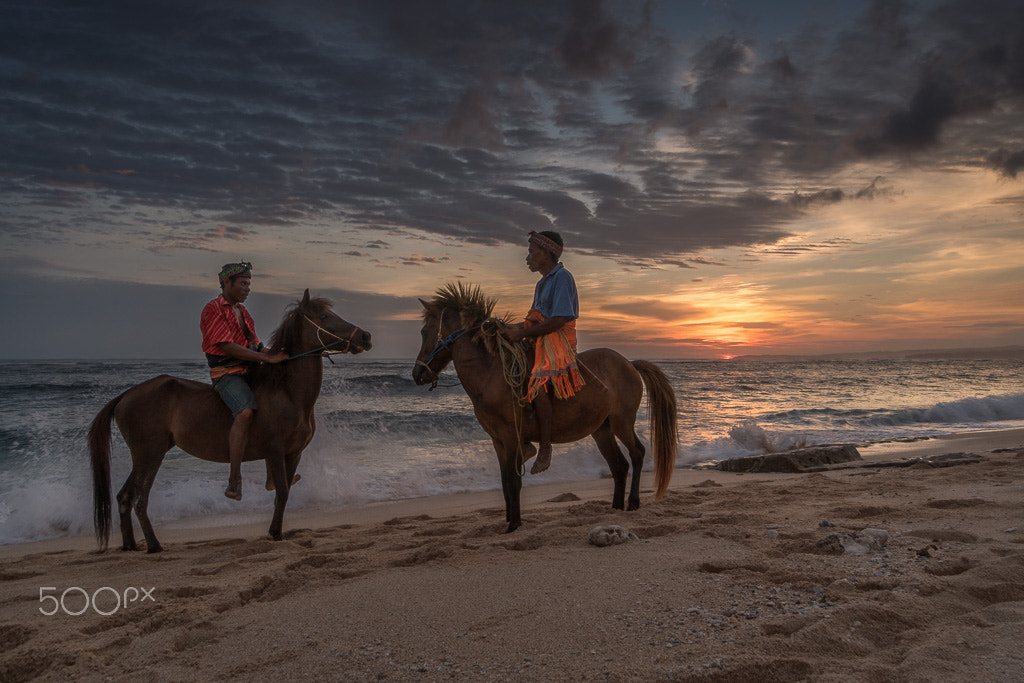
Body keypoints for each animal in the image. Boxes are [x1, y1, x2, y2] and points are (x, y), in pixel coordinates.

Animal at [90, 290, 372, 552]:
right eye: (323, 317)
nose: (365, 337)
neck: (287, 392)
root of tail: (125, 396)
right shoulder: (275, 450)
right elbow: (281, 491)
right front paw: (275, 533)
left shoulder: (294, 453)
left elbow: (284, 492)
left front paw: (276, 531)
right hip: (150, 454)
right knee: (139, 500)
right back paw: (154, 545)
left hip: (145, 455)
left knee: (124, 497)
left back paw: (130, 545)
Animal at [411, 282, 675, 532]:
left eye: (425, 331)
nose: (417, 374)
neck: (490, 374)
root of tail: (629, 364)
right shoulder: (497, 441)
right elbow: (505, 483)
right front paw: (509, 520)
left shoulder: (511, 437)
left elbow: (514, 482)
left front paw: (514, 524)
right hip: (602, 429)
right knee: (619, 466)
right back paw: (616, 508)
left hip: (622, 423)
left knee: (637, 453)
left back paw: (632, 503)